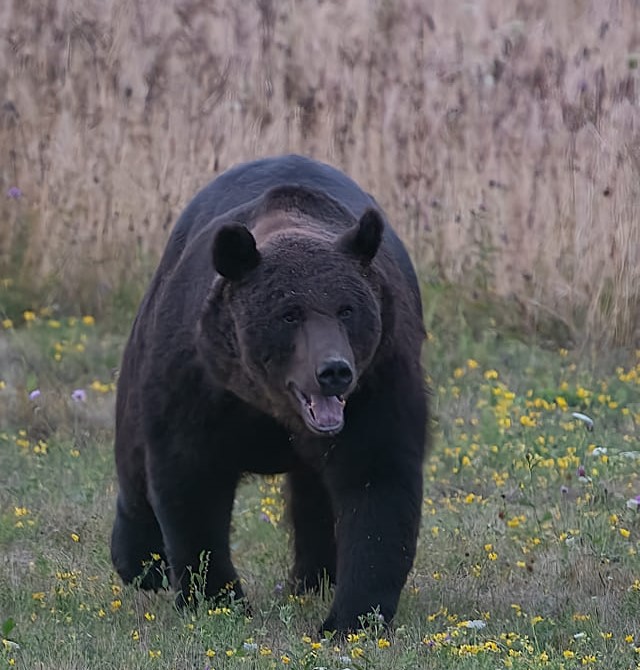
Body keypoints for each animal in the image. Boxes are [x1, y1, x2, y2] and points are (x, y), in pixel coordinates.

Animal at [112, 155, 428, 632]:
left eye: (347, 309)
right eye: (289, 313)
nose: (334, 371)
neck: (267, 403)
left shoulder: (378, 381)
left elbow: (377, 483)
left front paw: (351, 619)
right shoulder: (198, 380)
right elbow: (190, 478)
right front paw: (216, 597)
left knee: (314, 500)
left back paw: (313, 578)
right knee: (132, 458)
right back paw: (139, 565)